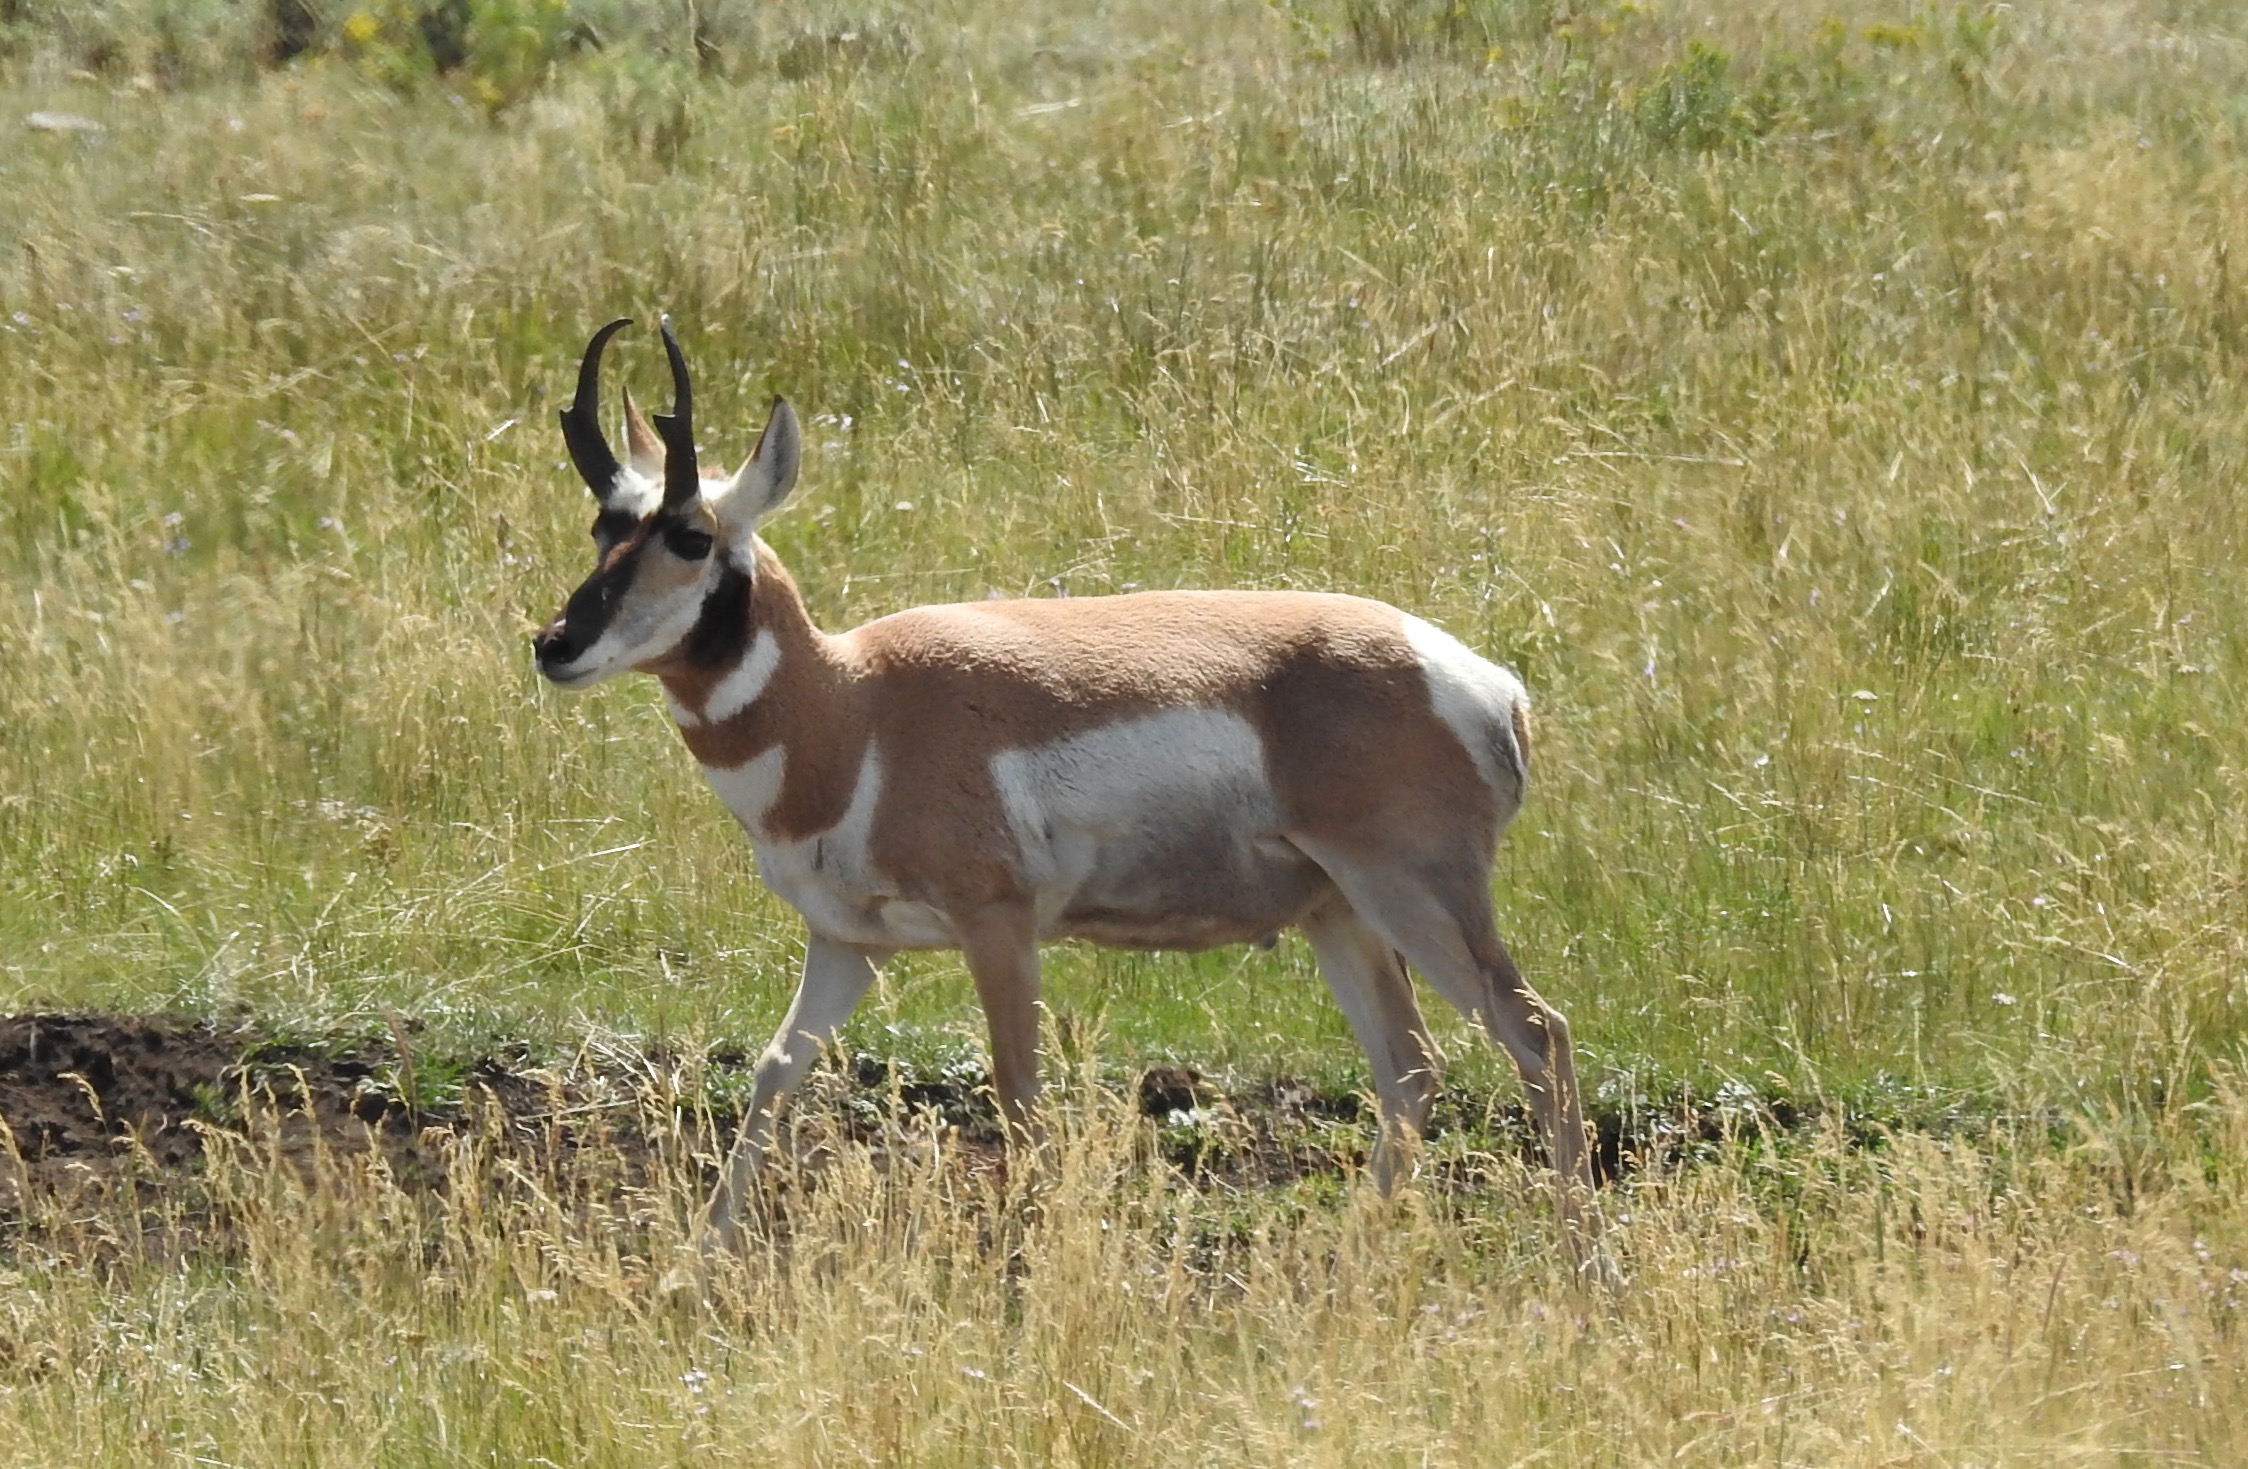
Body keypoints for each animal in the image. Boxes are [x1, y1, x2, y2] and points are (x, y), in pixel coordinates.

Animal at [532, 318, 1598, 1255]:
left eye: (690, 535)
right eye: (601, 524)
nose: (555, 644)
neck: (854, 704)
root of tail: (1487, 684)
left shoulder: (998, 926)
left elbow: (1018, 1095)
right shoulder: (847, 943)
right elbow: (772, 1071)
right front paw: (701, 1254)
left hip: (1413, 895)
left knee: (1536, 1032)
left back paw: (1580, 1261)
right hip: (1340, 913)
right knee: (1411, 1068)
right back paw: (1352, 1256)